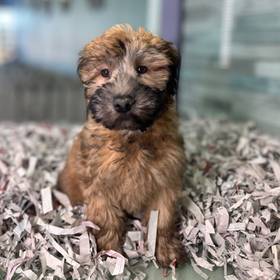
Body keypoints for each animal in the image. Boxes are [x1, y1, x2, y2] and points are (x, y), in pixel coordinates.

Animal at [57, 24, 186, 266]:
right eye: (104, 72)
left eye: (142, 69)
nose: (123, 102)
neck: (131, 137)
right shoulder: (101, 183)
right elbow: (107, 217)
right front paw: (109, 251)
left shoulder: (165, 179)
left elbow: (162, 218)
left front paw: (165, 248)